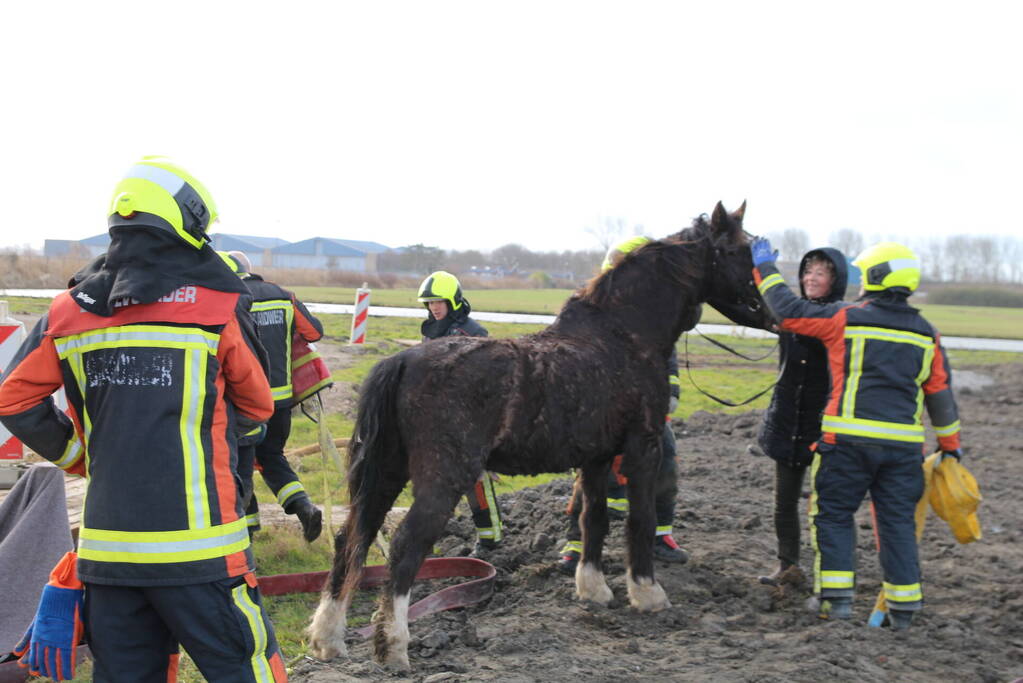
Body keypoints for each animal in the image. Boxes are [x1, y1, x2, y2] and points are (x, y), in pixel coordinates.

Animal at [307, 201, 774, 670]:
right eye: (739, 250)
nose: (767, 312)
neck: (623, 336)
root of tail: (403, 361)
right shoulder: (643, 446)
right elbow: (639, 518)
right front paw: (647, 592)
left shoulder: (597, 457)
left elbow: (593, 518)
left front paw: (593, 588)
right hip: (444, 477)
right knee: (405, 546)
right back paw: (394, 647)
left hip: (386, 472)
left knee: (352, 538)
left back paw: (329, 636)